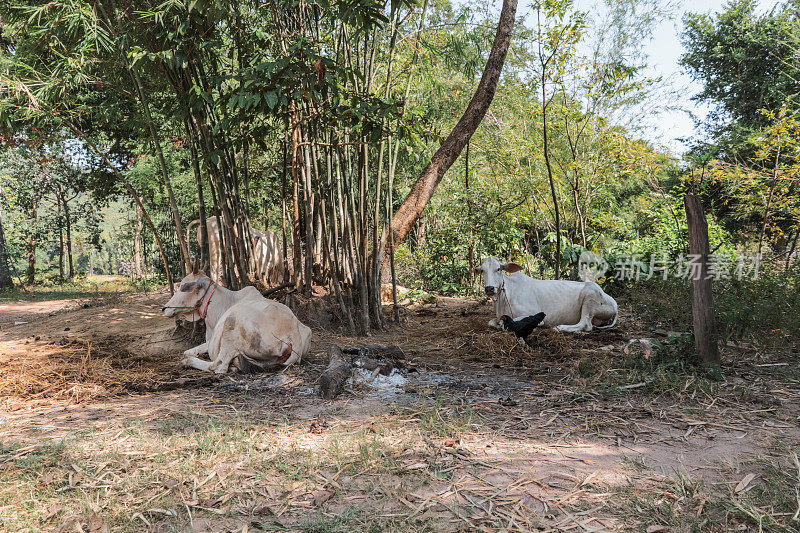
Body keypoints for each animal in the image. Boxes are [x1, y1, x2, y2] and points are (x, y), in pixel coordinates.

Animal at [162, 268, 312, 372]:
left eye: (183, 286)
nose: (164, 308)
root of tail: (294, 335)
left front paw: (188, 356)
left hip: (231, 325)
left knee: (219, 366)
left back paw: (188, 362)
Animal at [476, 256, 620, 332]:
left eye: (498, 269)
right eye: (482, 270)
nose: (489, 288)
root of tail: (614, 303)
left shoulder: (532, 311)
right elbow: (492, 322)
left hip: (590, 296)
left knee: (586, 324)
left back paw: (560, 327)